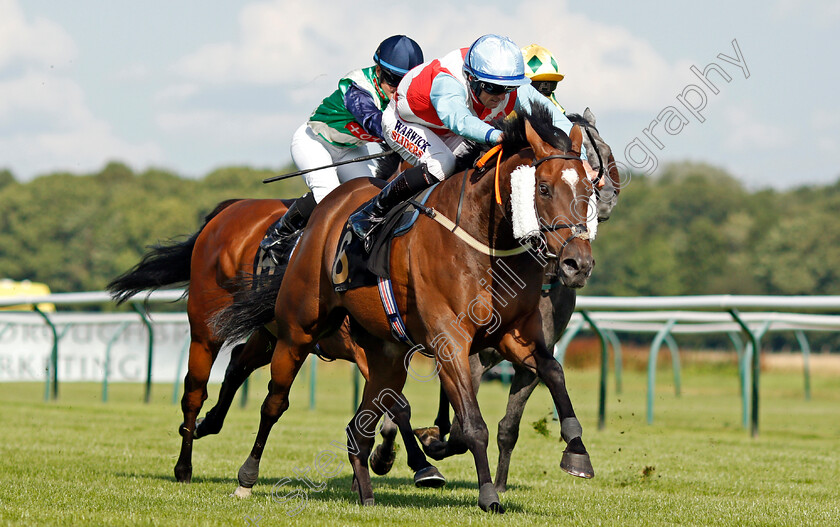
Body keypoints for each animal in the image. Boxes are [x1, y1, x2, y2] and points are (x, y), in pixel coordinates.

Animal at [217, 105, 596, 512]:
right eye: (543, 188)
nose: (578, 263)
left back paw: (367, 497)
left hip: (386, 354)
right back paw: (246, 477)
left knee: (358, 429)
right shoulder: (450, 341)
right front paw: (488, 495)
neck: (484, 238)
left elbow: (554, 371)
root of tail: (331, 205)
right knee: (274, 402)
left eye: (589, 187)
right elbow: (472, 423)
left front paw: (577, 452)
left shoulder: (514, 335)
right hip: (297, 332)